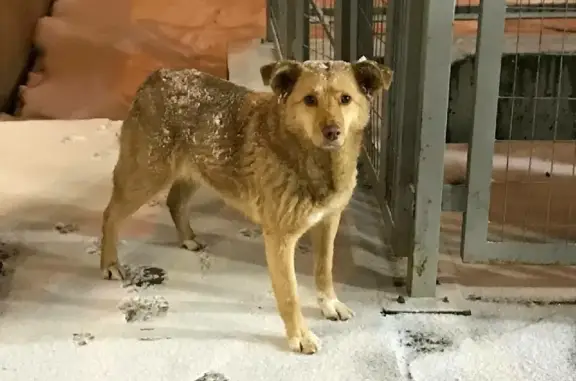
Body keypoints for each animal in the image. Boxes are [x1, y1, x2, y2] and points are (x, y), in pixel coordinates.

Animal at [101, 59, 394, 354]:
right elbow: (290, 295)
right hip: (145, 176)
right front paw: (299, 336)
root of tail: (158, 76)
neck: (308, 157)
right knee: (111, 214)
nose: (332, 132)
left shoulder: (328, 223)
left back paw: (188, 239)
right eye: (310, 99)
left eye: (346, 99)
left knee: (175, 201)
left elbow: (325, 270)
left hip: (198, 169)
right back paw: (110, 264)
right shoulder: (279, 238)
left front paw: (329, 304)